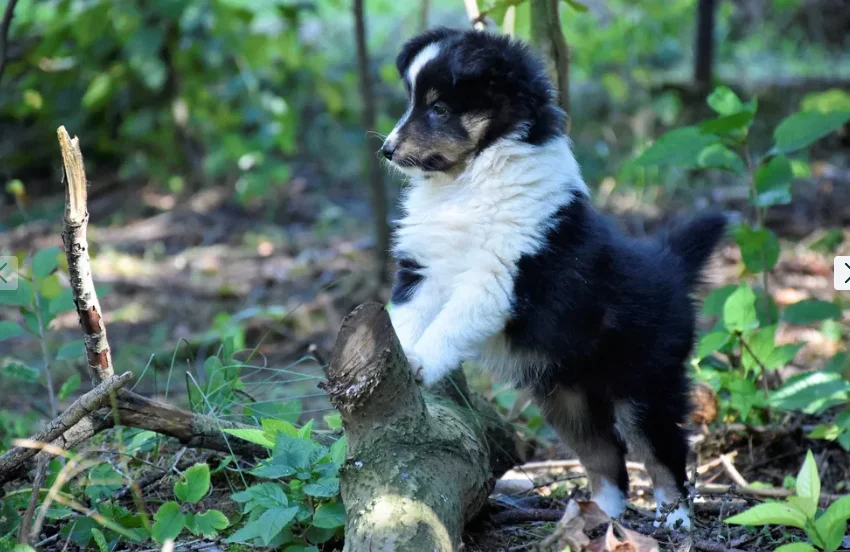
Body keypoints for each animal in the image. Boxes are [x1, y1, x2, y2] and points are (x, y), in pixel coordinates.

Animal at [380, 27, 724, 532]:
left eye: (438, 108)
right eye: (412, 101)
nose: (386, 149)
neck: (468, 180)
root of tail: (669, 264)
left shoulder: (496, 278)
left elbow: (451, 322)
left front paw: (422, 361)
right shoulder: (422, 270)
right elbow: (404, 319)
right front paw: (401, 358)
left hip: (646, 385)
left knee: (663, 452)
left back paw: (677, 519)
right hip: (567, 397)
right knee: (605, 456)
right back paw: (595, 518)